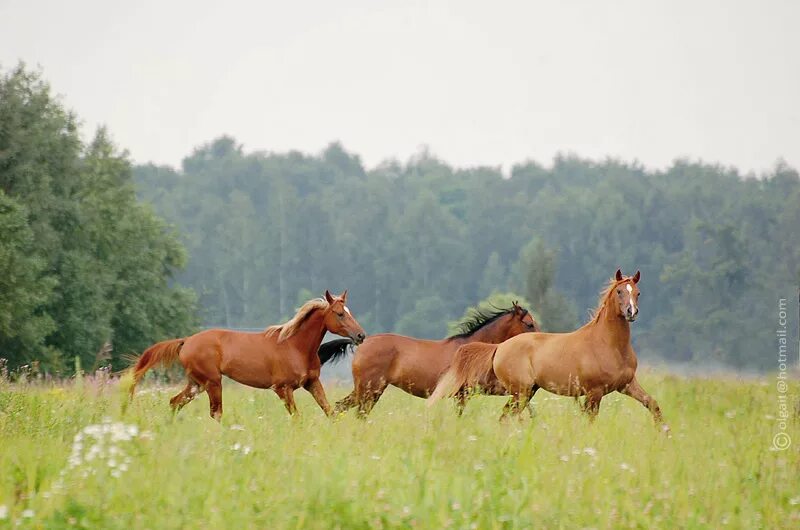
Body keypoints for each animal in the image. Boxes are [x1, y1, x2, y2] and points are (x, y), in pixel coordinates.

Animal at [128, 286, 366, 418]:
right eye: (339, 314)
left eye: (349, 311)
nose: (361, 336)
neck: (295, 347)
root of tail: (186, 342)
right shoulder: (282, 389)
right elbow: (297, 417)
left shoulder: (312, 383)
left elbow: (330, 412)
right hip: (212, 382)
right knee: (216, 413)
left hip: (196, 384)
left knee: (175, 402)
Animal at [322, 302, 540, 416]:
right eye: (529, 324)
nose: (540, 338)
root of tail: (362, 342)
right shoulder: (463, 394)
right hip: (370, 389)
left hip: (367, 390)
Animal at [432, 270, 668, 426]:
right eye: (619, 291)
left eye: (637, 293)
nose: (631, 312)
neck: (609, 345)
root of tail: (499, 348)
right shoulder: (595, 393)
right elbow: (590, 421)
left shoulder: (627, 384)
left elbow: (653, 405)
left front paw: (664, 433)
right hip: (521, 392)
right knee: (506, 415)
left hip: (525, 392)